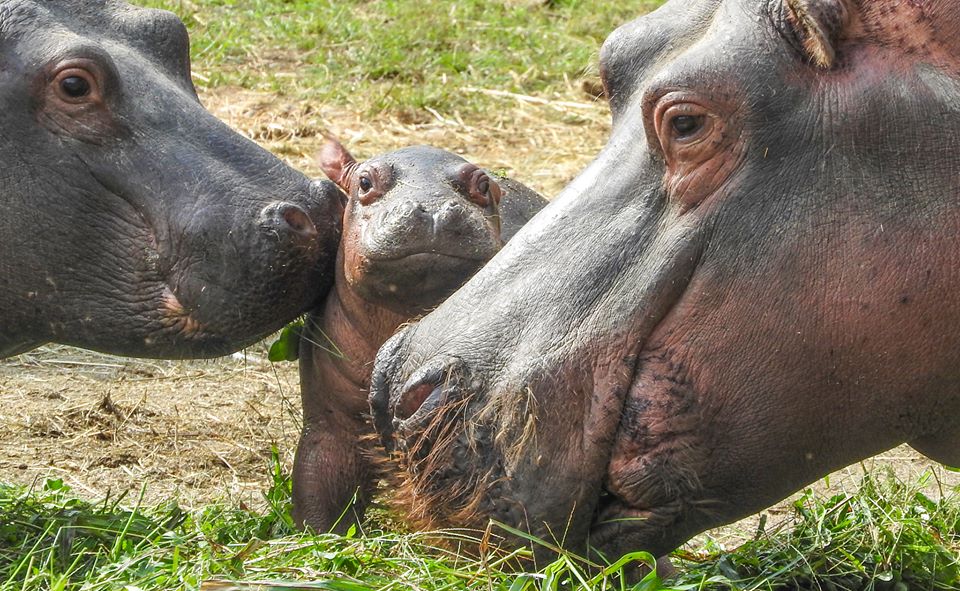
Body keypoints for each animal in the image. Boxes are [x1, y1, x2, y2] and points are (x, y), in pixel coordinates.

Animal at [290, 139, 548, 532]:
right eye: (364, 182)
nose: (433, 208)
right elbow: (319, 480)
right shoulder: (328, 423)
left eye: (482, 184)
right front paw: (321, 539)